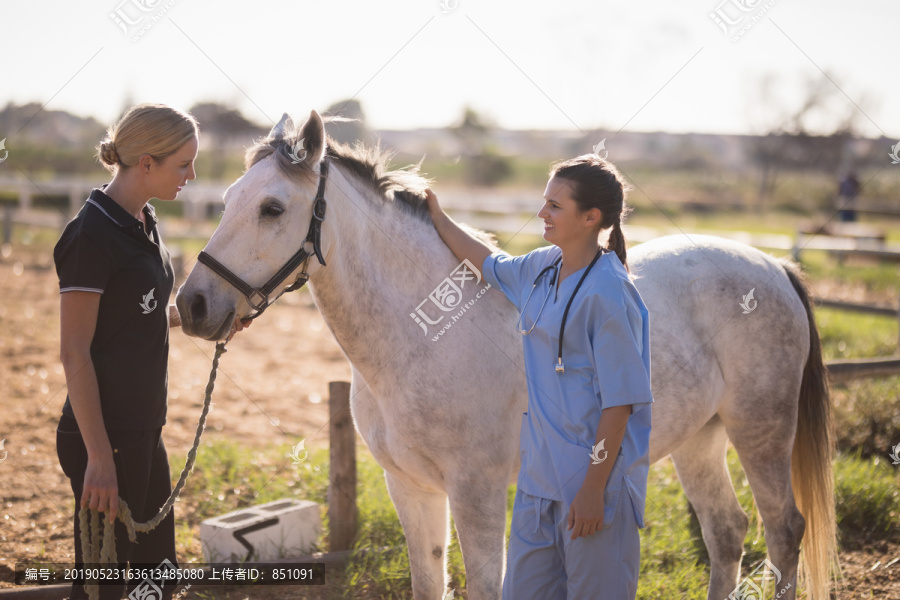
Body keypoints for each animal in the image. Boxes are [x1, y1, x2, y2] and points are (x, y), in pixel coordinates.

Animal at [176, 111, 836, 600]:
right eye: (227, 199)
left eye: (272, 208)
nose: (192, 304)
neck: (421, 336)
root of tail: (773, 267)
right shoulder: (410, 488)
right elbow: (428, 583)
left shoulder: (478, 491)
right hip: (700, 439)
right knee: (728, 534)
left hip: (760, 432)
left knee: (784, 533)